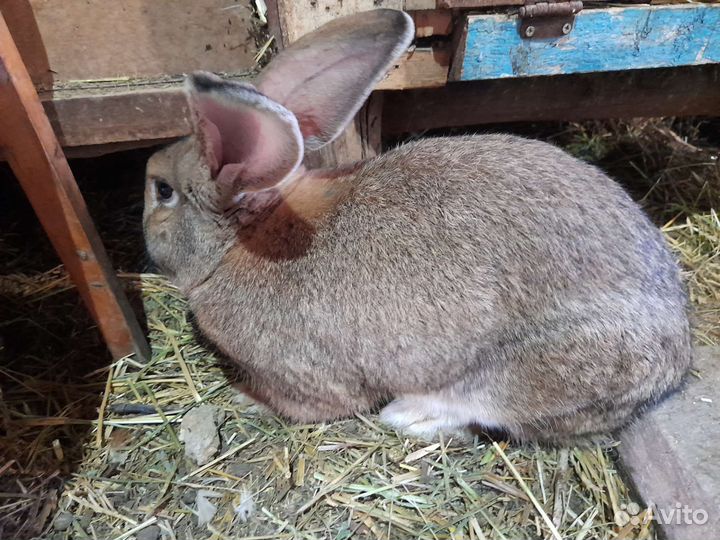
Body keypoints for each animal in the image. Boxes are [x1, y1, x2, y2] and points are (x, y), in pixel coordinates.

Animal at [143, 9, 692, 444]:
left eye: (162, 191)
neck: (244, 239)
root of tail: (673, 365)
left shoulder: (303, 377)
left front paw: (244, 396)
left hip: (535, 370)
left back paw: (410, 415)